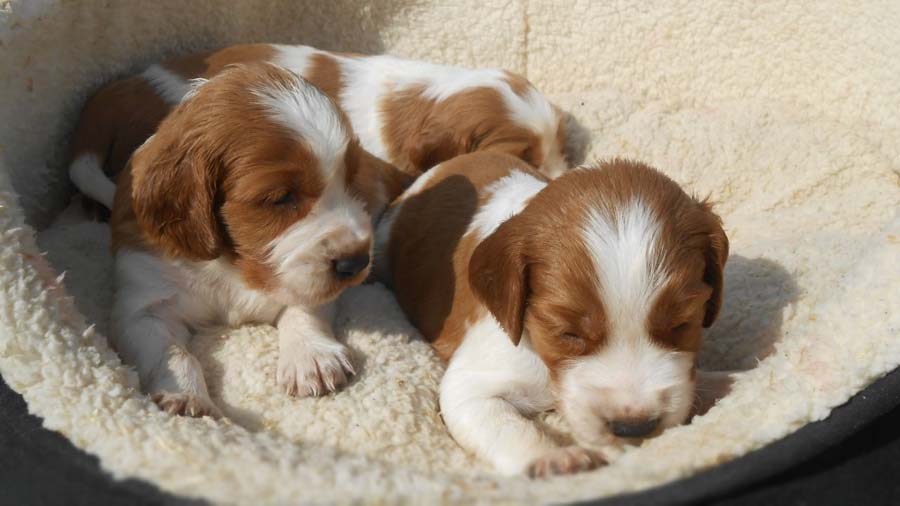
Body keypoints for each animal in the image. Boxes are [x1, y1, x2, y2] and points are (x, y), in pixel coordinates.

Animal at [107, 63, 402, 418]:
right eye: (281, 197)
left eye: (350, 180)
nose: (357, 262)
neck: (231, 263)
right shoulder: (144, 299)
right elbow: (171, 350)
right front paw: (186, 396)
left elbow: (304, 307)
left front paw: (312, 357)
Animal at [376, 152, 728, 476]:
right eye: (567, 333)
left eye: (682, 324)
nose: (634, 427)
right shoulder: (473, 383)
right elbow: (504, 425)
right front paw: (554, 459)